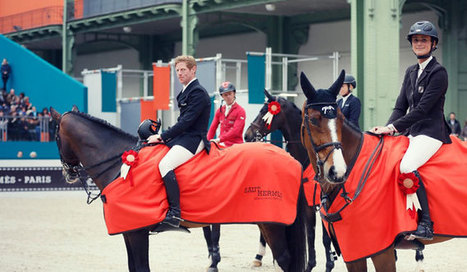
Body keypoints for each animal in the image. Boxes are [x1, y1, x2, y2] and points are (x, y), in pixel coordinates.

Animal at [51, 105, 308, 272]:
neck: (120, 163)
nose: (67, 174)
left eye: (55, 136)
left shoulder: (137, 233)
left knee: (285, 260)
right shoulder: (128, 231)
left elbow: (142, 268)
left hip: (272, 223)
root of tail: (290, 159)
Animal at [245, 90, 336, 272]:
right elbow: (311, 235)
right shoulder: (306, 205)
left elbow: (323, 238)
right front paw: (312, 265)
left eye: (263, 111)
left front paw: (328, 264)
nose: (247, 135)